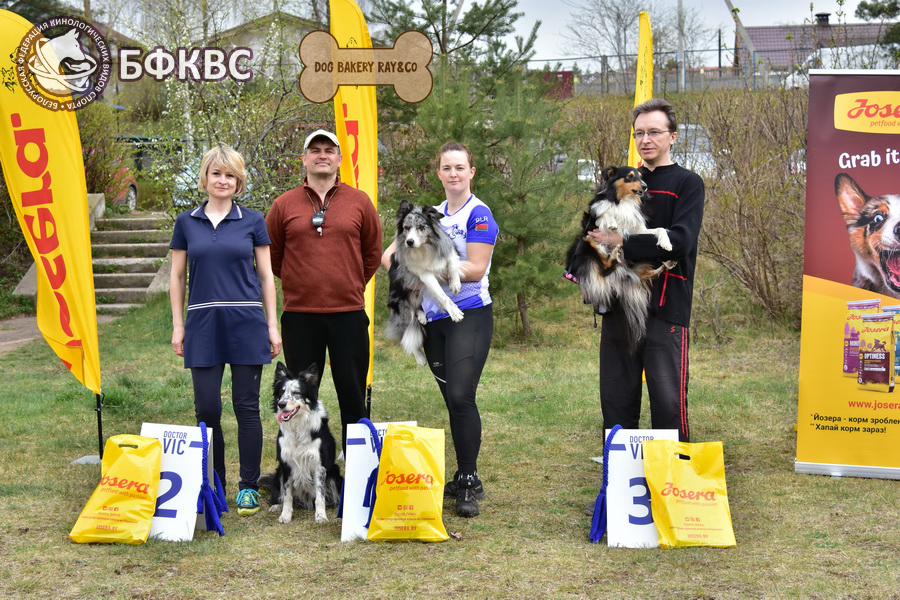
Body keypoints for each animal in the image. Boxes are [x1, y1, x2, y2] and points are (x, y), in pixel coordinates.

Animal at [258, 362, 342, 523]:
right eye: (281, 392)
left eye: (296, 393)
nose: (281, 404)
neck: (297, 426)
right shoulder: (286, 465)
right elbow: (287, 495)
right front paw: (285, 515)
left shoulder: (319, 465)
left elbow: (320, 496)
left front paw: (321, 516)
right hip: (279, 472)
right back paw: (276, 506)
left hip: (334, 472)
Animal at [385, 199, 464, 365]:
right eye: (406, 228)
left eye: (421, 227)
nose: (409, 242)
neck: (424, 248)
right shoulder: (424, 274)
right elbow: (441, 295)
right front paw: (454, 312)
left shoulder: (449, 251)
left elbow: (453, 263)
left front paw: (455, 284)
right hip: (402, 309)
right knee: (406, 334)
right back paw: (420, 357)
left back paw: (422, 315)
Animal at [565, 165, 675, 352]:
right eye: (630, 177)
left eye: (640, 176)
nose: (645, 187)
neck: (623, 201)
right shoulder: (594, 223)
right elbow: (605, 213)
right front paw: (611, 222)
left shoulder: (638, 230)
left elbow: (660, 229)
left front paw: (666, 243)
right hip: (587, 244)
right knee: (603, 264)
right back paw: (615, 254)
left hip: (634, 266)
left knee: (647, 274)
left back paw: (667, 263)